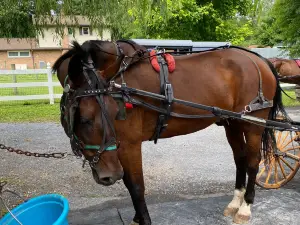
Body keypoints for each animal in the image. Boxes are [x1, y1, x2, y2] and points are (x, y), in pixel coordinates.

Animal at [52, 39, 290, 224]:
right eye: (85, 119)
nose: (109, 175)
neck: (121, 85)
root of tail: (260, 60)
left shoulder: (129, 144)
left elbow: (136, 186)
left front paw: (143, 220)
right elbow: (130, 184)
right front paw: (137, 217)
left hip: (253, 124)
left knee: (252, 162)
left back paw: (245, 208)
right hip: (233, 123)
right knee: (240, 159)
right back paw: (234, 203)